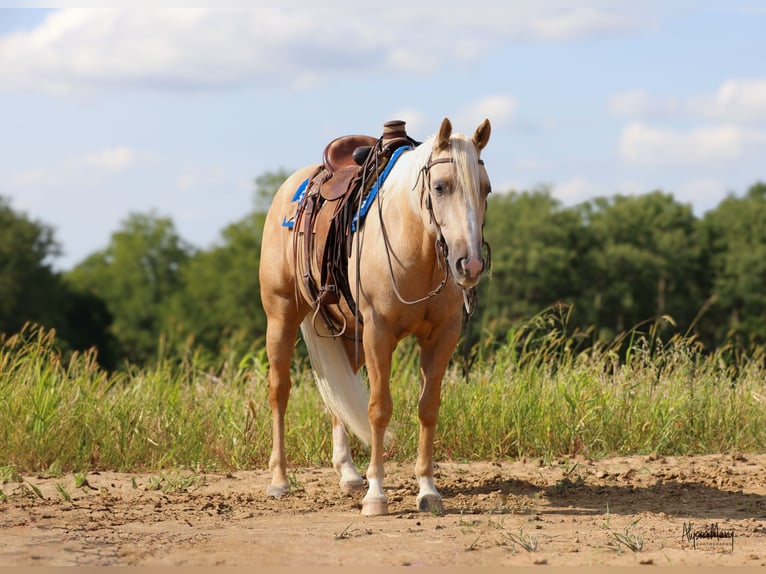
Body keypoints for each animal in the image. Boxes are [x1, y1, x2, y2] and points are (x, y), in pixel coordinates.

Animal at [260, 117, 496, 516]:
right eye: (440, 186)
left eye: (487, 189)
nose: (471, 264)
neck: (414, 244)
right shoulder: (379, 333)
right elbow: (378, 409)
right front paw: (376, 495)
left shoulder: (442, 336)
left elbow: (428, 408)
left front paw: (428, 489)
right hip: (281, 315)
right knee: (280, 390)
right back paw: (279, 481)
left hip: (348, 332)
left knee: (340, 392)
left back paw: (349, 475)